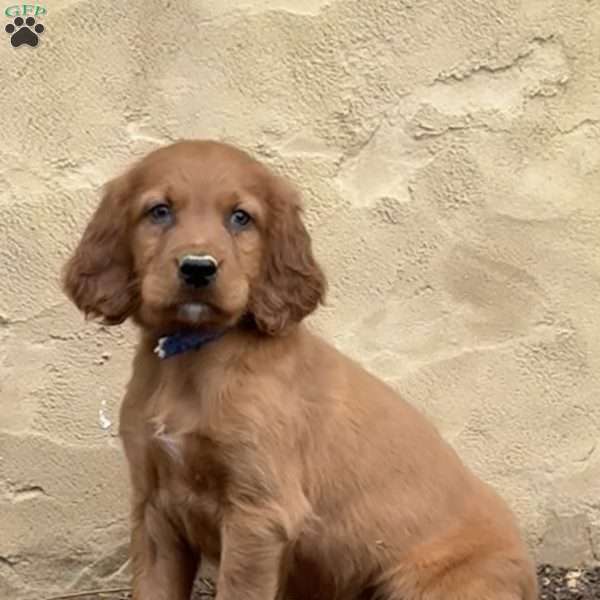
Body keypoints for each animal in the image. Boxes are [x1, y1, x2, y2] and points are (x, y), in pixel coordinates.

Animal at [63, 141, 536, 600]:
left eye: (241, 217)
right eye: (159, 211)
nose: (198, 267)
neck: (193, 354)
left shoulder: (259, 514)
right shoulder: (154, 508)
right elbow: (153, 589)